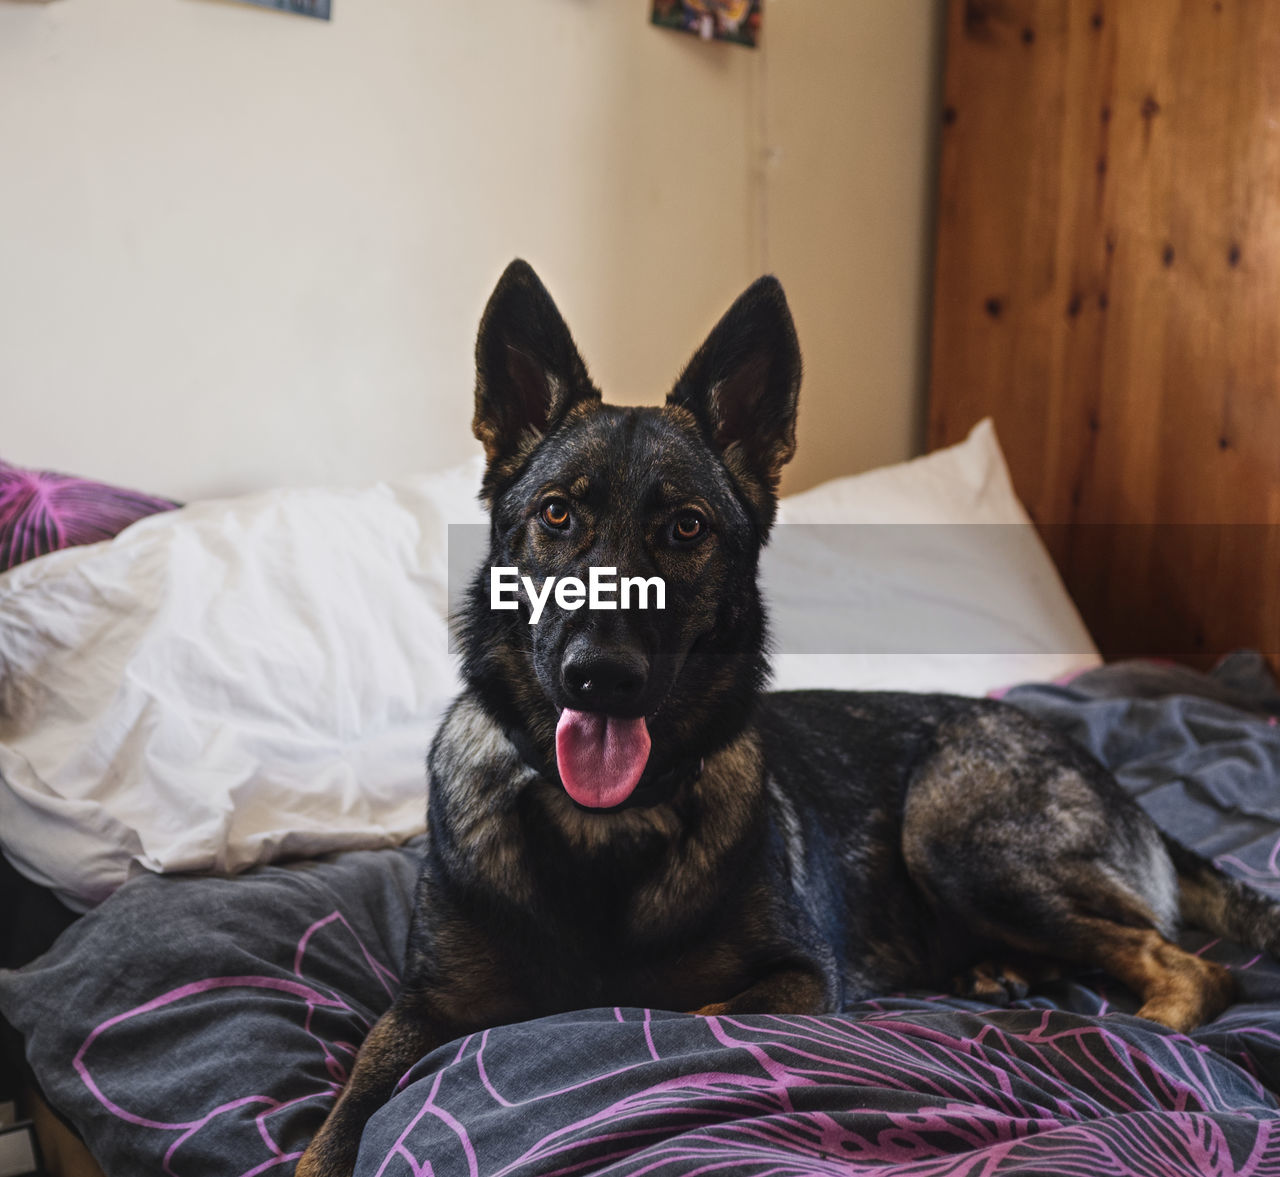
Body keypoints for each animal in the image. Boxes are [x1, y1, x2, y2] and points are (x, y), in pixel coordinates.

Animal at [296, 262, 1280, 1171]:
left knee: (1191, 964)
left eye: (687, 528)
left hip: (958, 837)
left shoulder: (804, 976)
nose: (600, 677)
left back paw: (1138, 1038)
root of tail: (1107, 775)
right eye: (556, 514)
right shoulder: (420, 1006)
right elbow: (339, 1120)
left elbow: (678, 1013)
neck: (601, 828)